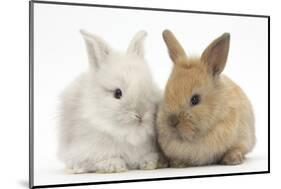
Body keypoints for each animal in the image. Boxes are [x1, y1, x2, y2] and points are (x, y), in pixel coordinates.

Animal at [57, 30, 161, 173]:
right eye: (117, 93)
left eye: (149, 87)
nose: (141, 114)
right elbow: (96, 161)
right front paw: (115, 166)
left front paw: (150, 163)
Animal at [156, 29, 255, 167]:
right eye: (166, 94)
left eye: (195, 99)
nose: (172, 121)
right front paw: (178, 163)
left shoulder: (243, 138)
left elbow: (237, 148)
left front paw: (232, 159)